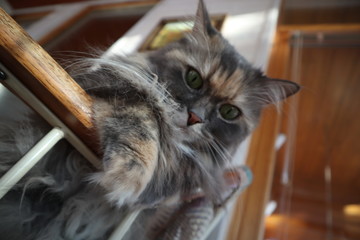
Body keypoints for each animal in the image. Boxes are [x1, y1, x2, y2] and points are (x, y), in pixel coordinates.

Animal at [0, 0, 298, 239]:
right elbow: (145, 116)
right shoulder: (107, 87)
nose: (195, 117)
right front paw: (129, 174)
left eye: (229, 112)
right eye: (193, 79)